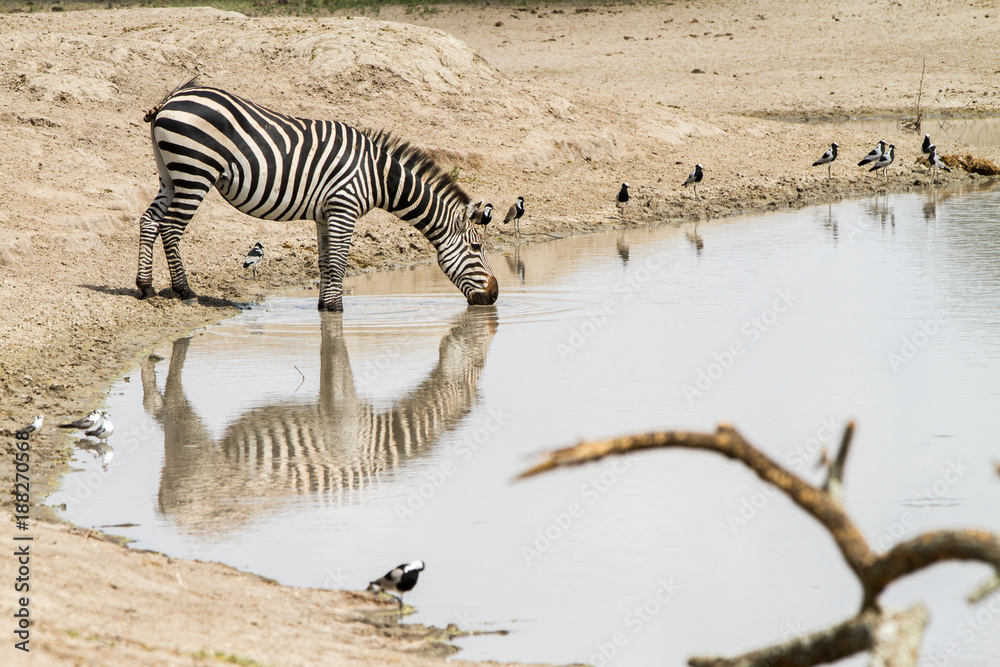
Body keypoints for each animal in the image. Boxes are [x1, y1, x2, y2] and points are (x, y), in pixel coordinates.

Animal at [136, 79, 498, 311]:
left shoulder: (325, 214)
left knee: (149, 220)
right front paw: (337, 309)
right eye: (476, 248)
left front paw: (325, 307)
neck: (378, 177)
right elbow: (339, 262)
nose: (495, 296)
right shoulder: (344, 208)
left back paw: (145, 286)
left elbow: (325, 262)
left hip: (169, 173)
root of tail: (171, 99)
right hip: (195, 171)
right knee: (171, 228)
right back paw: (184, 291)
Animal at [142, 308, 497, 530]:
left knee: (158, 409)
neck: (383, 438)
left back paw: (151, 358)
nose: (491, 313)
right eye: (479, 361)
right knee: (171, 405)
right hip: (196, 455)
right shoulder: (345, 413)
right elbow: (337, 360)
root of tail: (170, 515)